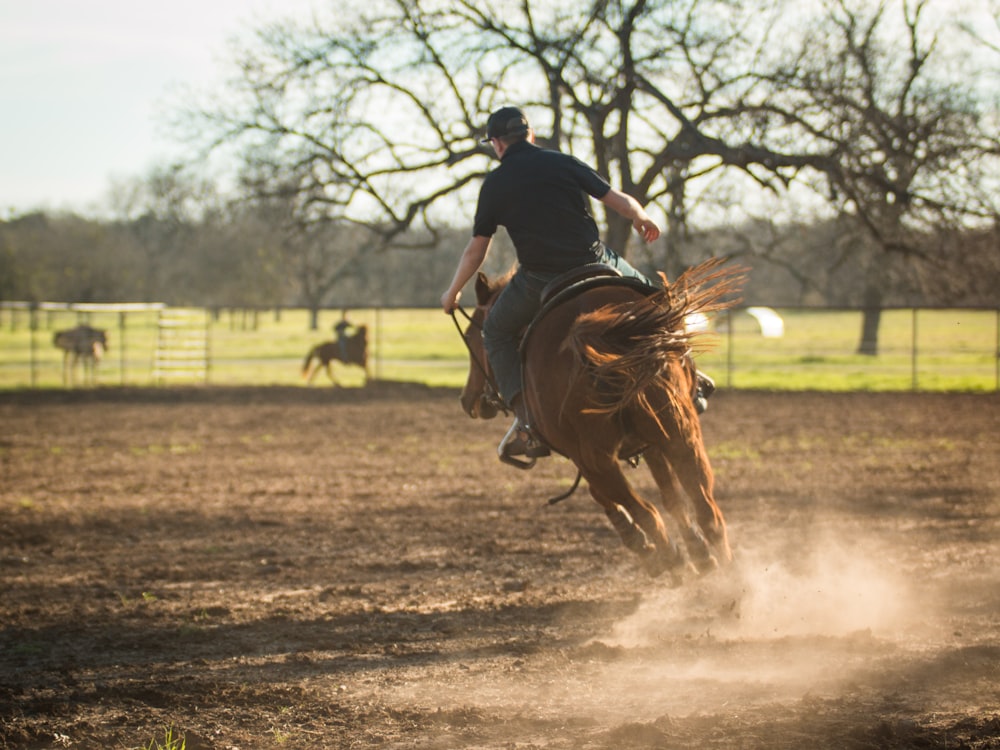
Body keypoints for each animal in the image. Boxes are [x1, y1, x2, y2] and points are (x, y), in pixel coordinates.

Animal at [460, 258, 744, 580]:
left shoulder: (583, 457)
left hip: (597, 460)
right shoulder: (650, 442)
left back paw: (668, 559)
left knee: (647, 512)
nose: (469, 400)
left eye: (472, 336)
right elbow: (671, 496)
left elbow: (605, 497)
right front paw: (698, 551)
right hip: (680, 434)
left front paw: (645, 545)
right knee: (706, 509)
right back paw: (729, 579)